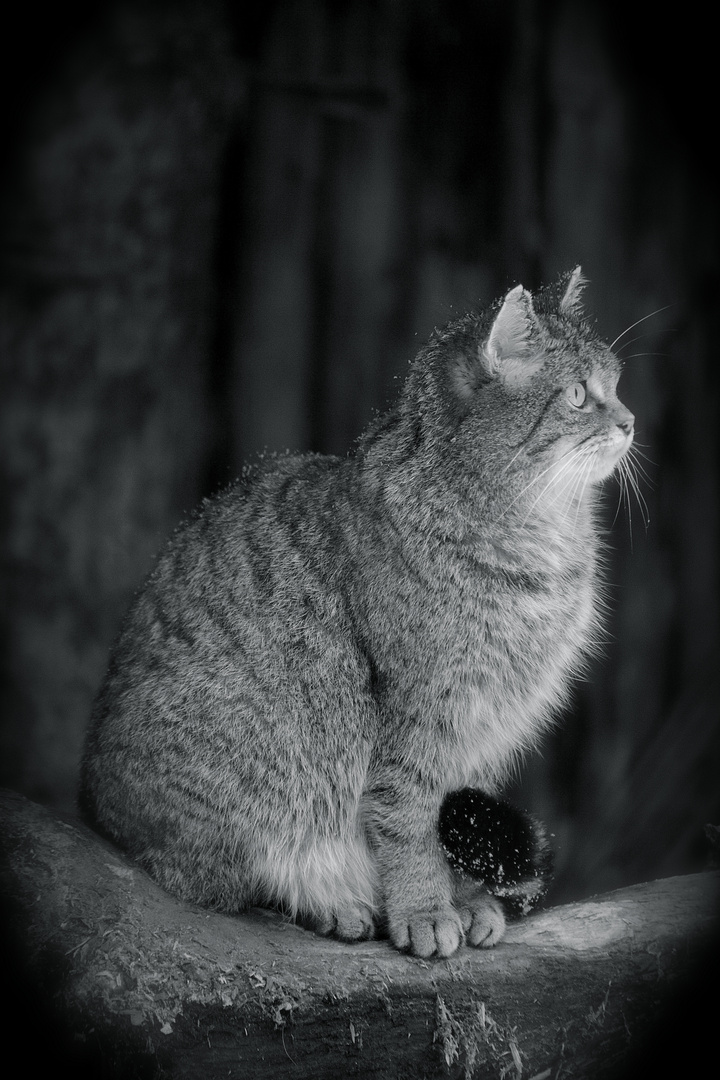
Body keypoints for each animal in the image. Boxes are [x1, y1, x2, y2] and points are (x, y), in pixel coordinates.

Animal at [77, 265, 634, 959]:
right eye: (580, 396)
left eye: (617, 385)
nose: (632, 421)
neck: (541, 544)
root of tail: (92, 807)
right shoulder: (417, 718)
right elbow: (410, 824)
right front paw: (425, 908)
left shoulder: (481, 733)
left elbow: (449, 822)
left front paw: (465, 899)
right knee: (222, 880)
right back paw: (330, 903)